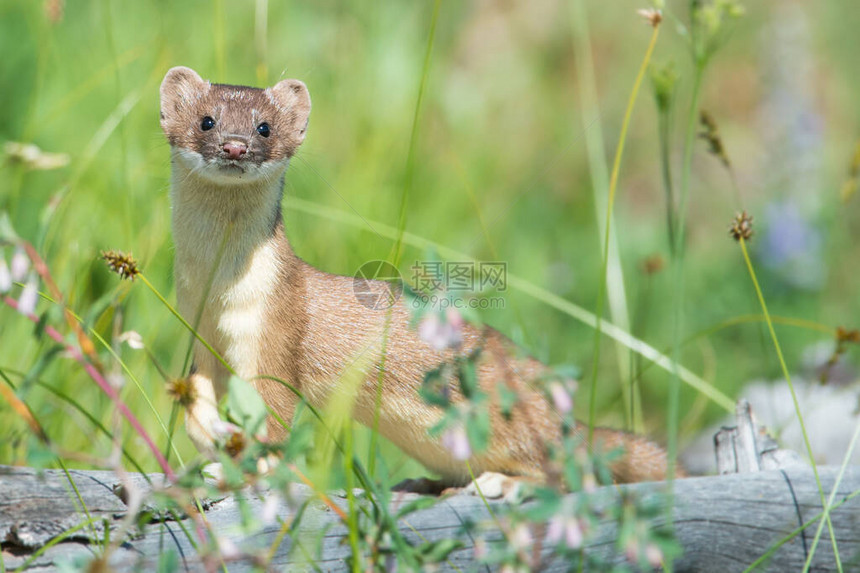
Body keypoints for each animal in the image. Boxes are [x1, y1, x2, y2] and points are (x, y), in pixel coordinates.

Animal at [158, 66, 676, 488]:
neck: (219, 292)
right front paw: (214, 444)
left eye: (264, 127)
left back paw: (500, 483)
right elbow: (197, 399)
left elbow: (277, 417)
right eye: (206, 120)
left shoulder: (275, 333)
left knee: (566, 472)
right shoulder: (198, 335)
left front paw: (257, 470)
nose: (235, 145)